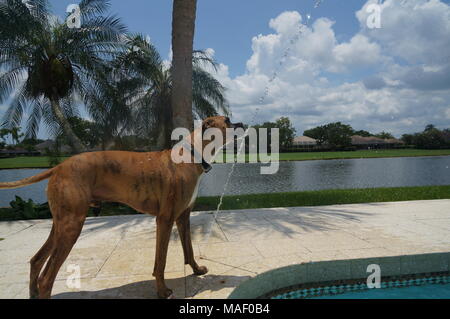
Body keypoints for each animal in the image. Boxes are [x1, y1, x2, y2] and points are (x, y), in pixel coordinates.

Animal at [0, 116, 243, 298]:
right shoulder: (165, 220)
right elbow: (161, 261)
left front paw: (196, 270)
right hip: (71, 227)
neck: (192, 154)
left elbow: (189, 249)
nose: (241, 123)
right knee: (46, 278)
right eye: (227, 120)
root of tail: (59, 167)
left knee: (36, 261)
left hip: (60, 226)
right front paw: (162, 291)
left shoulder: (183, 217)